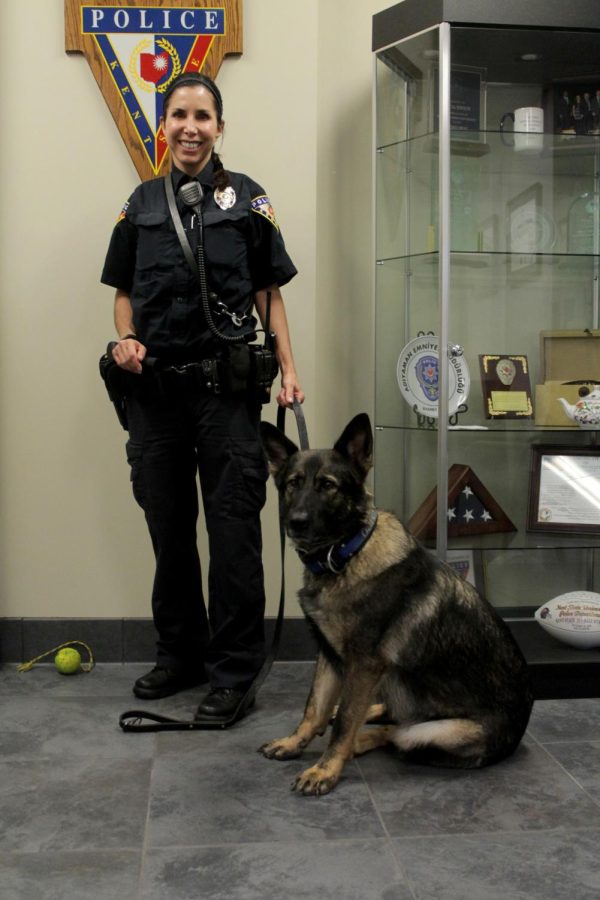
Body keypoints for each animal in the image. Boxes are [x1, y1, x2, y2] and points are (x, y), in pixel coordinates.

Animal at [260, 414, 532, 796]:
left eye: (327, 485)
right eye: (292, 484)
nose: (294, 523)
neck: (346, 553)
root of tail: (519, 730)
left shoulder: (363, 665)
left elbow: (345, 722)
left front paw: (325, 769)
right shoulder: (329, 655)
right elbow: (314, 707)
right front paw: (293, 742)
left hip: (433, 732)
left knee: (397, 733)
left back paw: (358, 743)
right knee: (389, 717)